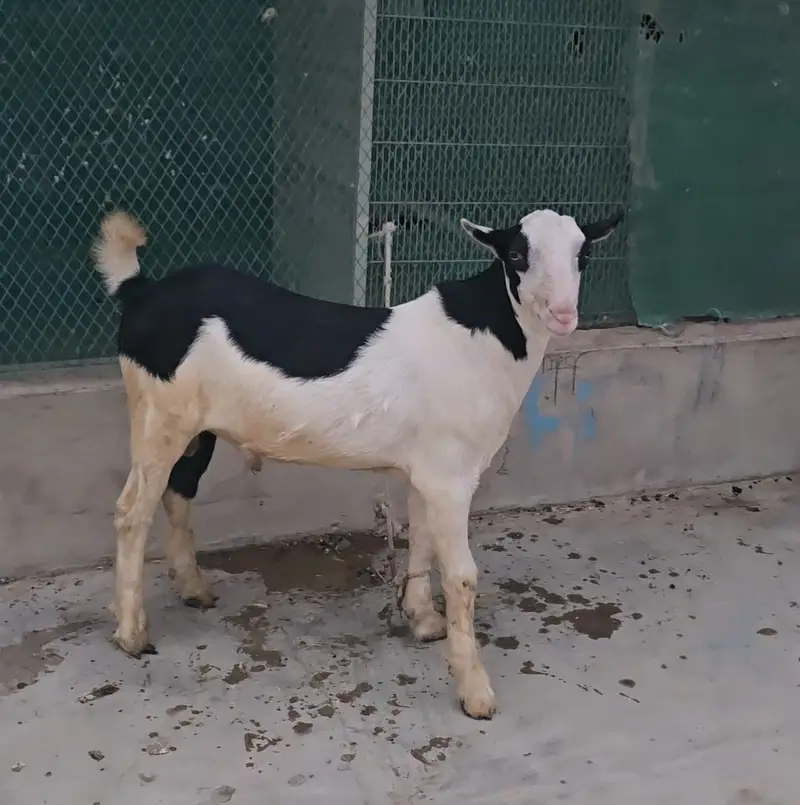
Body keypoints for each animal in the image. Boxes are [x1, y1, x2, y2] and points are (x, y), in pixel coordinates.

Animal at [91, 206, 623, 719]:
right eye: (515, 254)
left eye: (583, 255)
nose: (563, 314)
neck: (484, 337)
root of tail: (142, 289)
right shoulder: (451, 477)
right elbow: (461, 575)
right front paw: (475, 691)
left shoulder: (426, 470)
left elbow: (422, 540)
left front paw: (422, 618)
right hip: (158, 415)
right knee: (131, 511)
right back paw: (132, 632)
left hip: (194, 428)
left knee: (179, 490)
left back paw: (193, 588)